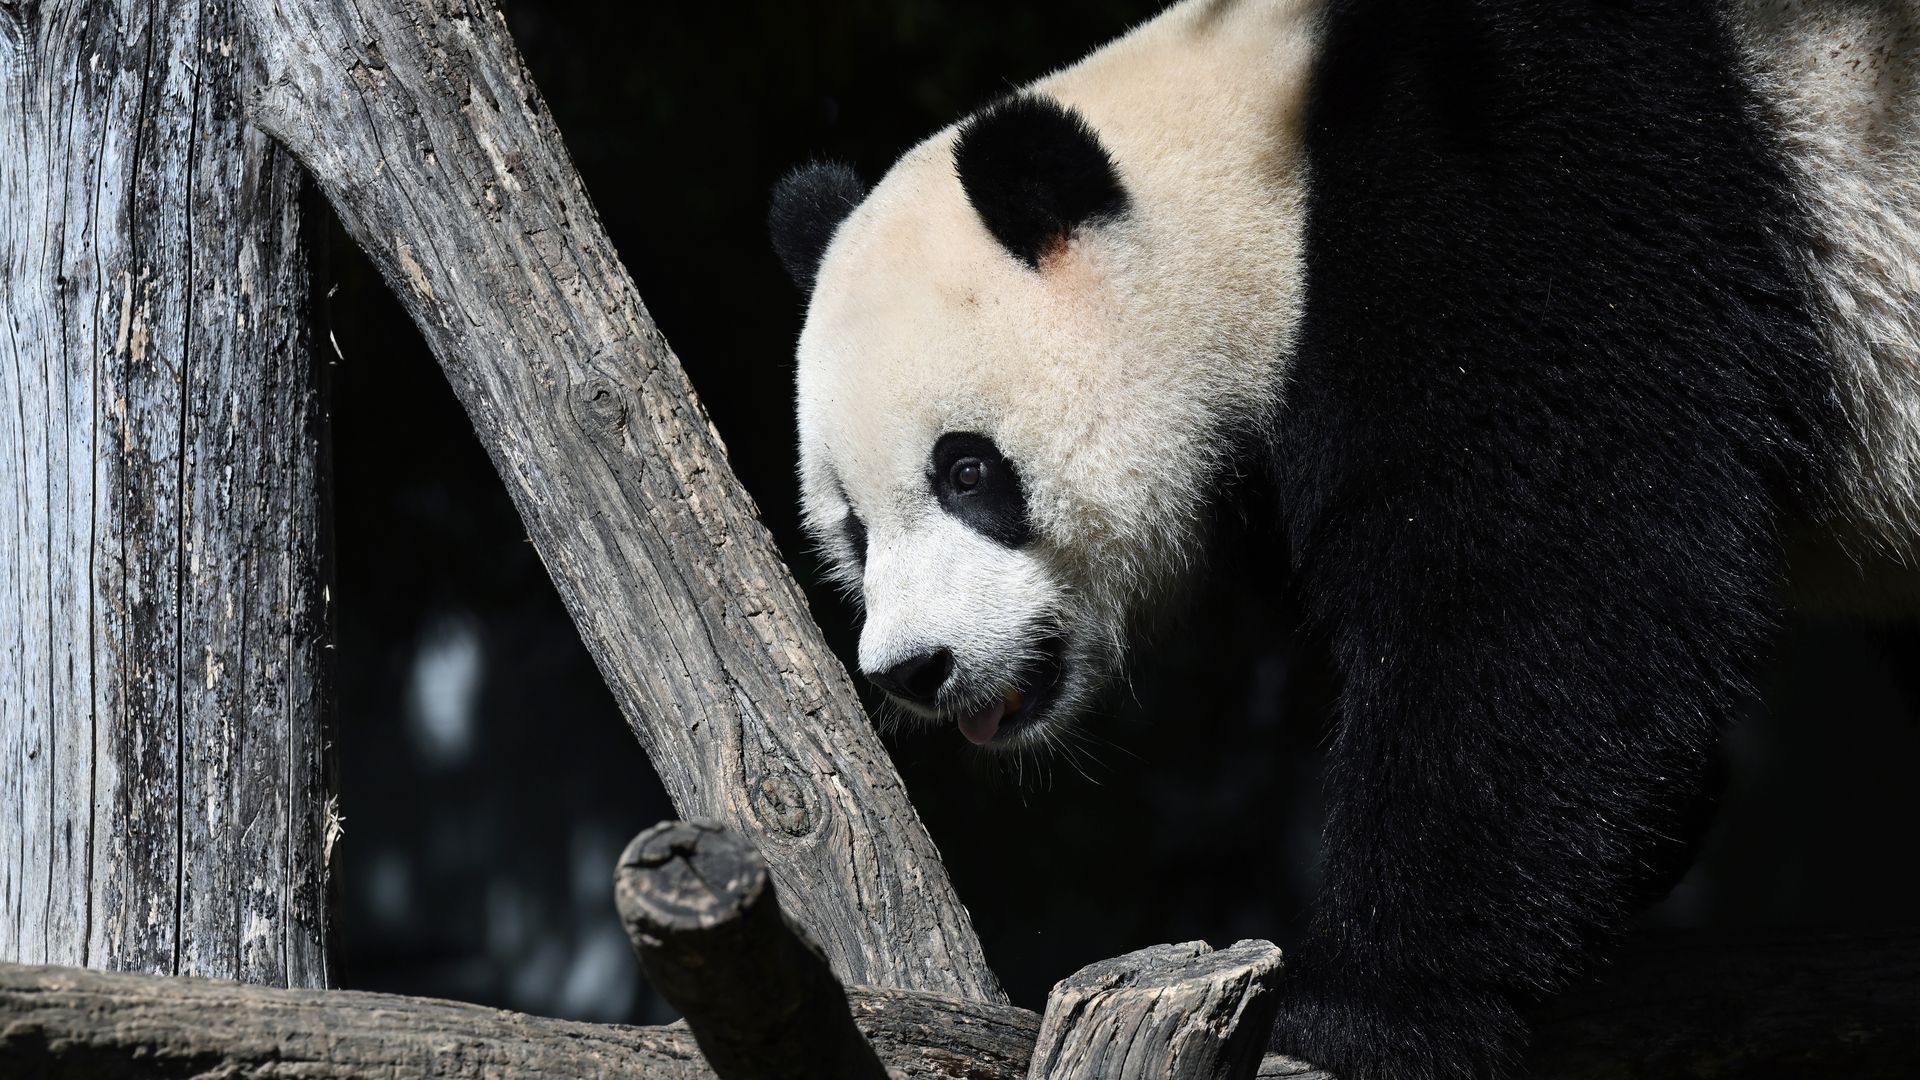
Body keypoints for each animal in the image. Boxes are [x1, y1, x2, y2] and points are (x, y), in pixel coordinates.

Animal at [768, 1, 1920, 1077]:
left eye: (967, 471)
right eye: (852, 529)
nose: (916, 668)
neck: (1264, 166)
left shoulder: (1524, 184)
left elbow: (1559, 578)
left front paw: (1358, 1007)